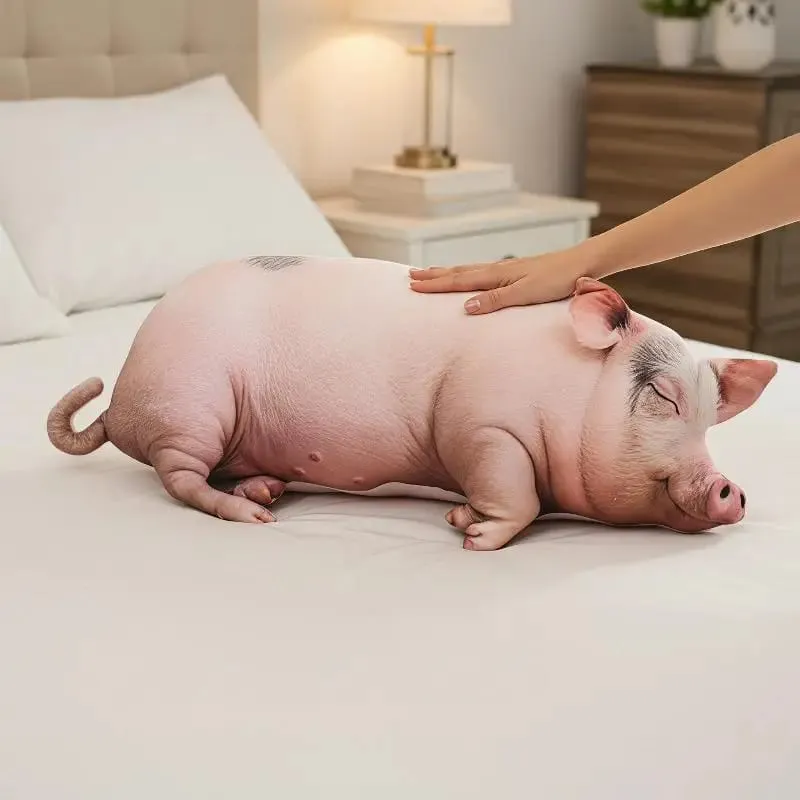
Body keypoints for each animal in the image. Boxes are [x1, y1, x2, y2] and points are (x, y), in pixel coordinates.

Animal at [46, 256, 777, 551]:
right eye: (663, 396)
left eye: (711, 416)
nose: (731, 489)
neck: (571, 394)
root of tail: (120, 400)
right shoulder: (480, 425)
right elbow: (516, 493)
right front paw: (471, 533)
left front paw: (462, 520)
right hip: (191, 406)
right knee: (182, 479)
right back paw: (254, 516)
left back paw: (265, 490)